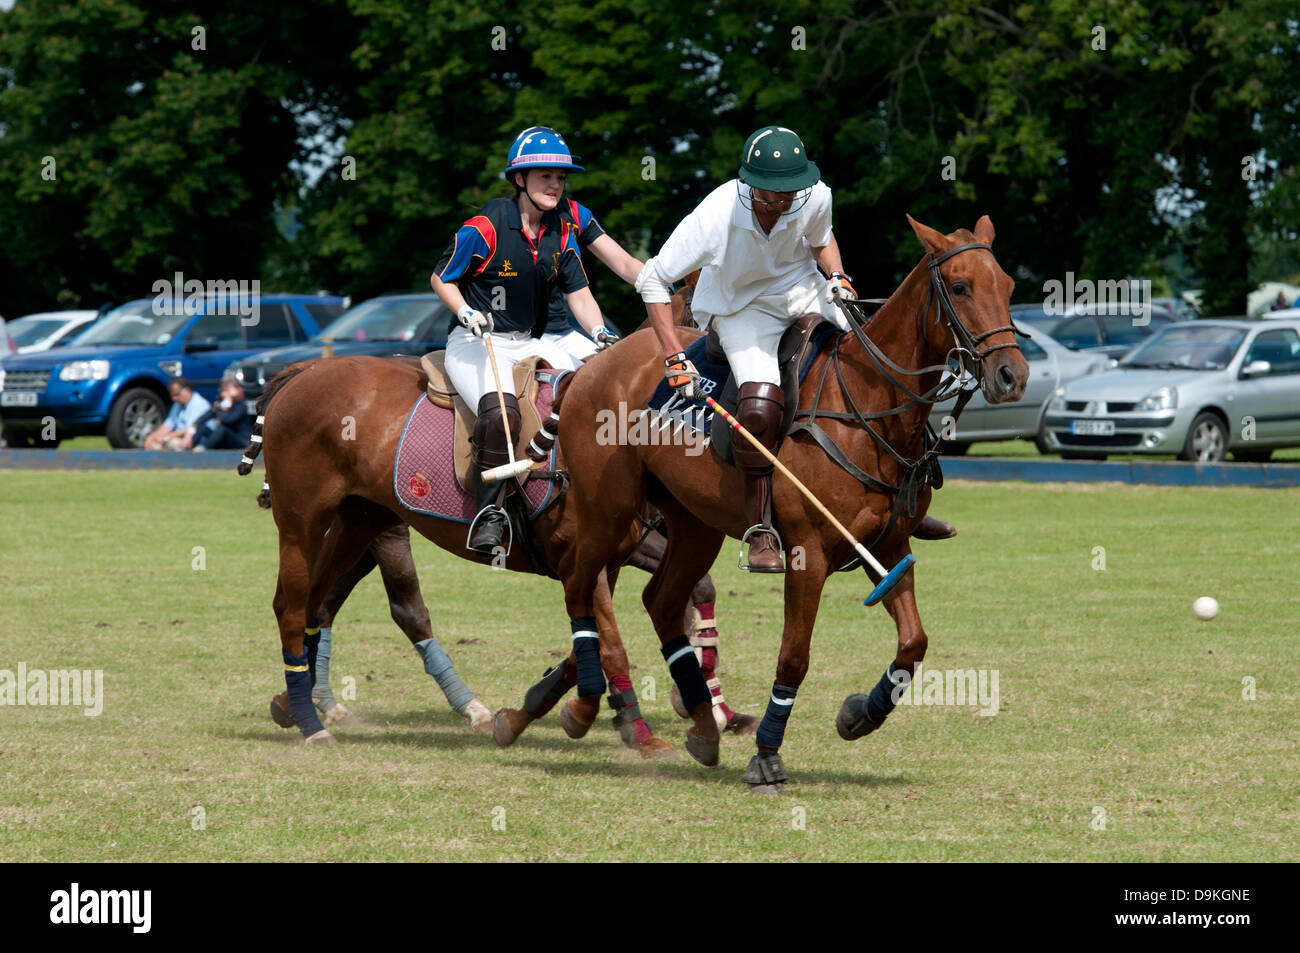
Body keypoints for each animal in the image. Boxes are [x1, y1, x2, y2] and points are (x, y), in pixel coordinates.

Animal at [546, 215, 1024, 790]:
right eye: (959, 287)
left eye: (1008, 287)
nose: (1012, 375)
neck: (870, 407)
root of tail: (588, 366)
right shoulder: (807, 554)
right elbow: (795, 657)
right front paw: (767, 756)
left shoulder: (890, 548)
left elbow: (914, 643)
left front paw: (859, 714)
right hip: (608, 508)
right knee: (580, 584)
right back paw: (582, 707)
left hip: (693, 522)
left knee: (660, 600)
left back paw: (703, 729)